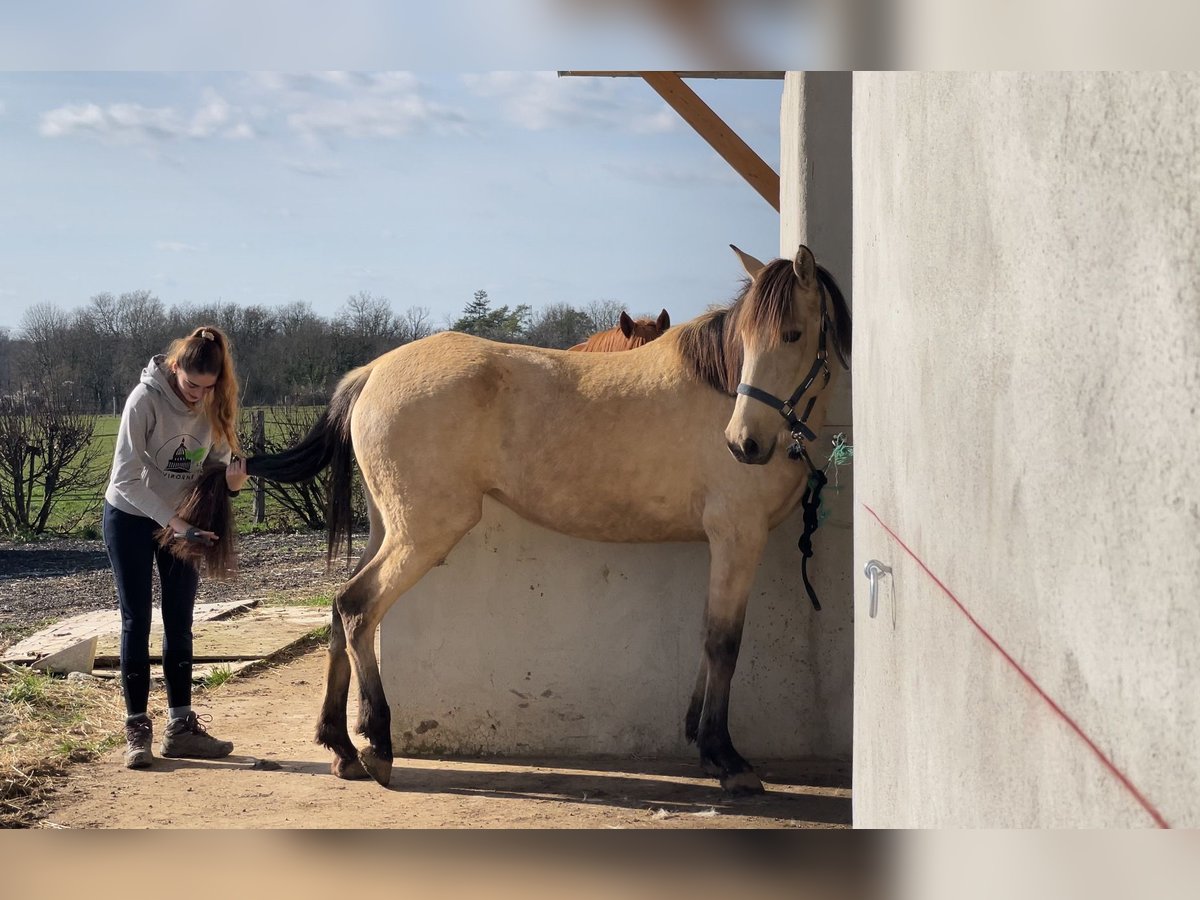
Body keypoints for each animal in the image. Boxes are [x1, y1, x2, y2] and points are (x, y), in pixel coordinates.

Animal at [243, 247, 849, 796]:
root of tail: (373, 372)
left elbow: (707, 637)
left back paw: (341, 748)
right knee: (358, 609)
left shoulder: (720, 544)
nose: (744, 444)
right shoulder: (737, 536)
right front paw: (727, 759)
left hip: (386, 529)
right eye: (755, 339)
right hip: (422, 534)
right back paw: (378, 745)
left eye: (792, 335)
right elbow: (725, 642)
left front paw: (701, 741)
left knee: (337, 611)